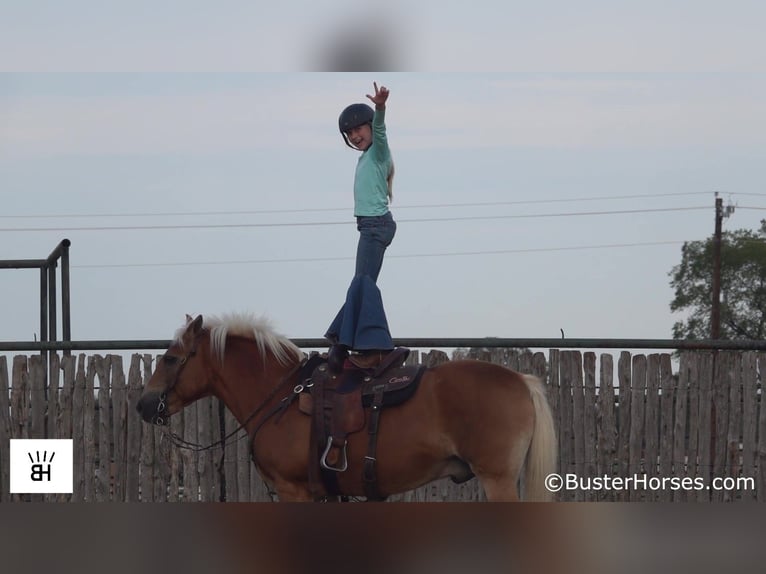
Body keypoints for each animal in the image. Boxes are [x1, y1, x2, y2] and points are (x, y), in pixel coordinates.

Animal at [136, 316, 560, 504]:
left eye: (171, 358)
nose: (144, 404)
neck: (282, 394)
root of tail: (521, 380)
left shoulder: (294, 491)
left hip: (497, 481)